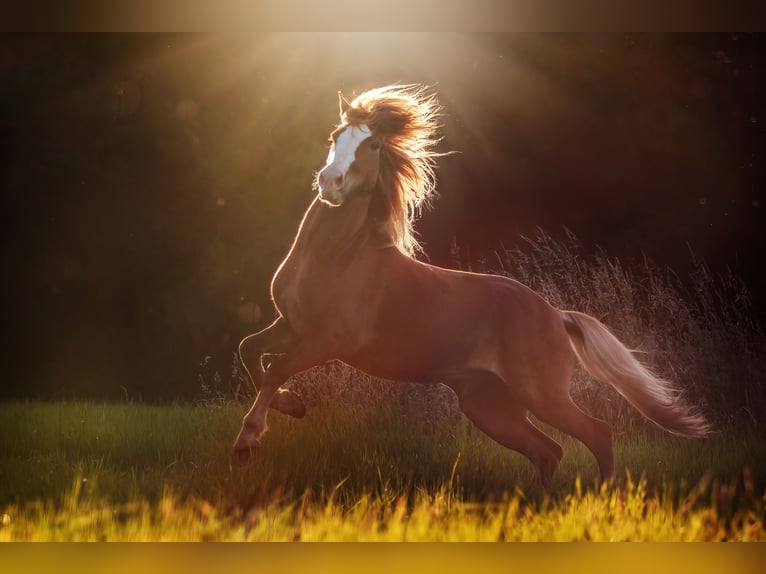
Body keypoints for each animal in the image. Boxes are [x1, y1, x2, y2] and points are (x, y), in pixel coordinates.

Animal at [233, 84, 712, 485]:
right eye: (336, 136)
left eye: (373, 144)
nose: (330, 183)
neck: (339, 257)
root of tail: (556, 315)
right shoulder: (292, 326)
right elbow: (250, 351)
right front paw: (292, 407)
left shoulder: (328, 340)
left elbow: (275, 368)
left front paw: (248, 441)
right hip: (489, 404)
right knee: (549, 451)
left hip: (539, 394)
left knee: (597, 433)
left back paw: (603, 501)